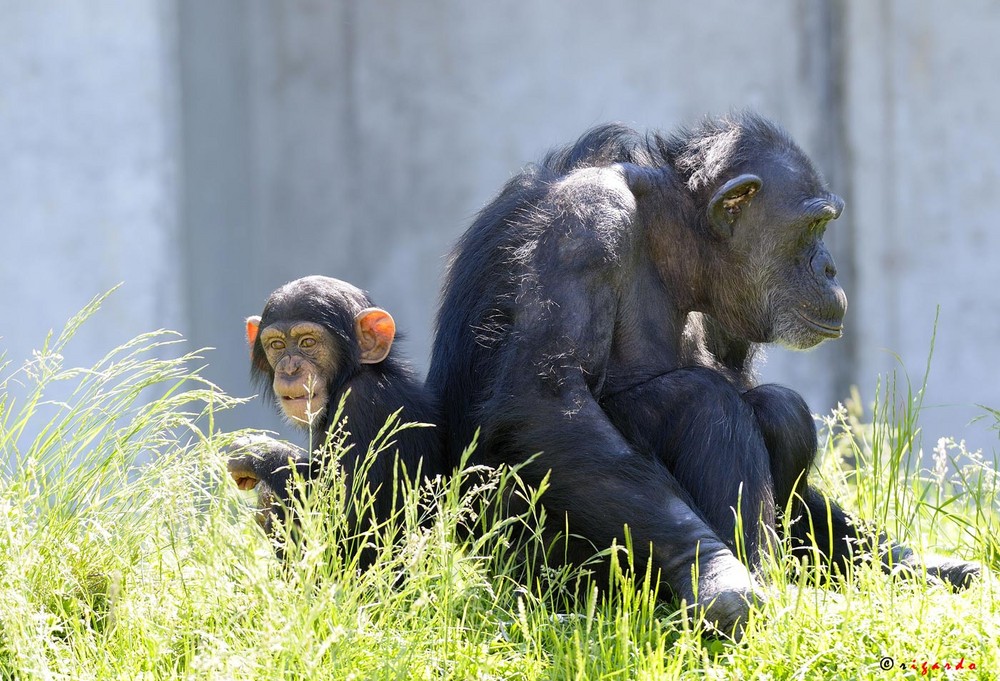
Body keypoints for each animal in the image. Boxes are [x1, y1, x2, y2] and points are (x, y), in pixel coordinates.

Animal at [229, 274, 448, 564]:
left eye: (308, 342)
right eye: (277, 345)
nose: (290, 368)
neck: (350, 376)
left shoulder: (362, 402)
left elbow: (347, 519)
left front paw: (257, 451)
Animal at [426, 110, 980, 632]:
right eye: (814, 226)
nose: (829, 267)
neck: (665, 237)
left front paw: (910, 563)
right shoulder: (582, 226)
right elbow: (544, 398)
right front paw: (717, 572)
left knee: (779, 410)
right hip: (541, 564)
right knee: (701, 400)